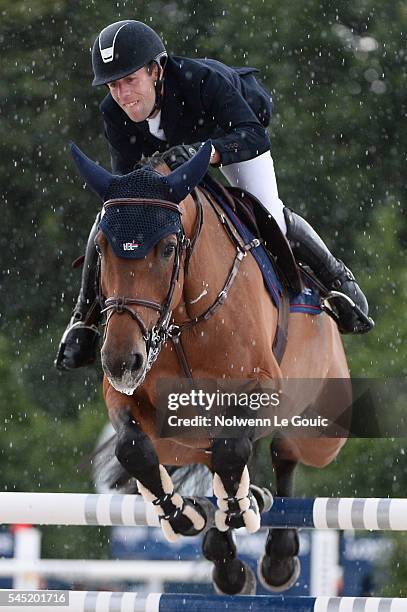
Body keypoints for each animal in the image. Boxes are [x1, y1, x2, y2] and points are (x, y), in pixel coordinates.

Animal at [69, 141, 350, 596]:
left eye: (168, 248)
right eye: (102, 248)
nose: (122, 361)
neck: (183, 317)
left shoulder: (262, 386)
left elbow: (232, 449)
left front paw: (238, 509)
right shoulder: (127, 398)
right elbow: (132, 448)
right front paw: (183, 515)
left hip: (325, 430)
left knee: (284, 450)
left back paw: (276, 555)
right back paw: (228, 557)